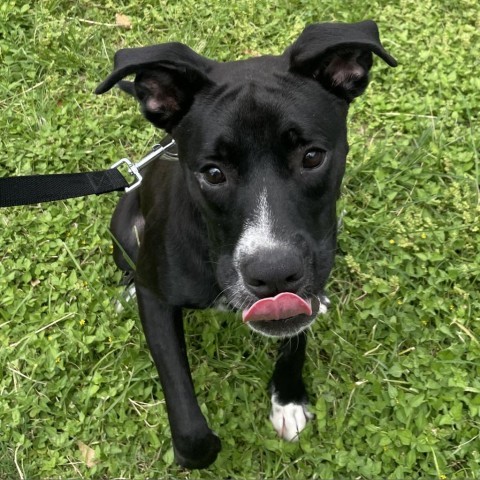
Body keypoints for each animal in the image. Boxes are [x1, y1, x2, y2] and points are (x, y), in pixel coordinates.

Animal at [95, 20, 396, 466]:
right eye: (213, 173)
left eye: (312, 157)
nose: (273, 276)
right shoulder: (158, 300)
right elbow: (191, 430)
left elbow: (297, 338)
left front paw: (287, 399)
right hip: (124, 226)